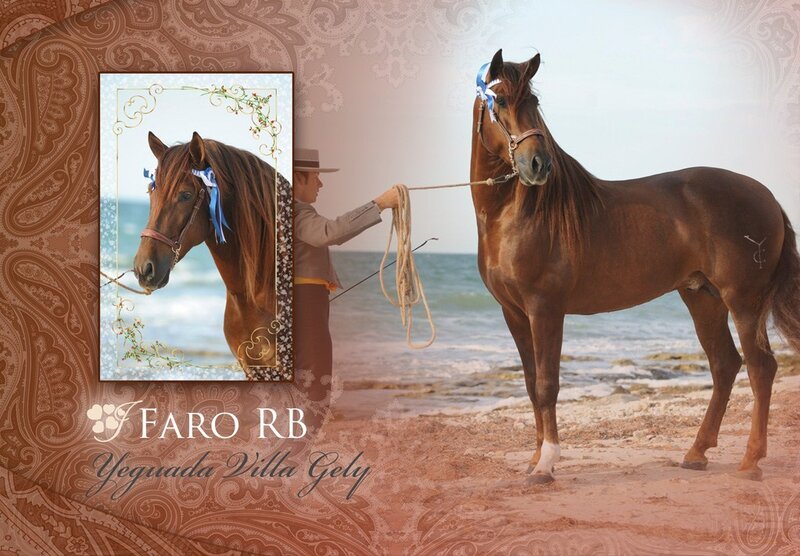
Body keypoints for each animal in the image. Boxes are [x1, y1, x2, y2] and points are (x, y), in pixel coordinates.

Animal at [470, 49, 800, 484]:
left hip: (743, 301)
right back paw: (696, 453)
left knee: (761, 368)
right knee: (725, 365)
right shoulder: (513, 312)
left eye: (534, 102)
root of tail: (769, 197)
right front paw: (535, 457)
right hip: (703, 298)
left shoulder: (545, 308)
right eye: (503, 101)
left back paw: (750, 461)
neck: (515, 216)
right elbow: (529, 384)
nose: (538, 164)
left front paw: (545, 464)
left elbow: (546, 385)